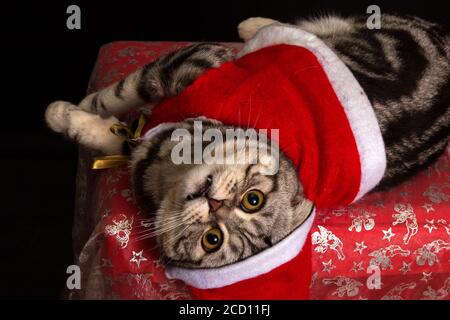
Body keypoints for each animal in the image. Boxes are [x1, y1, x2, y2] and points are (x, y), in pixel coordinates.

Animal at [45, 15, 450, 268]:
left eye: (213, 239)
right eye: (252, 199)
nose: (216, 205)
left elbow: (122, 122)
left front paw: (69, 116)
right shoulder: (193, 61)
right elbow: (123, 92)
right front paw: (79, 106)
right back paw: (257, 26)